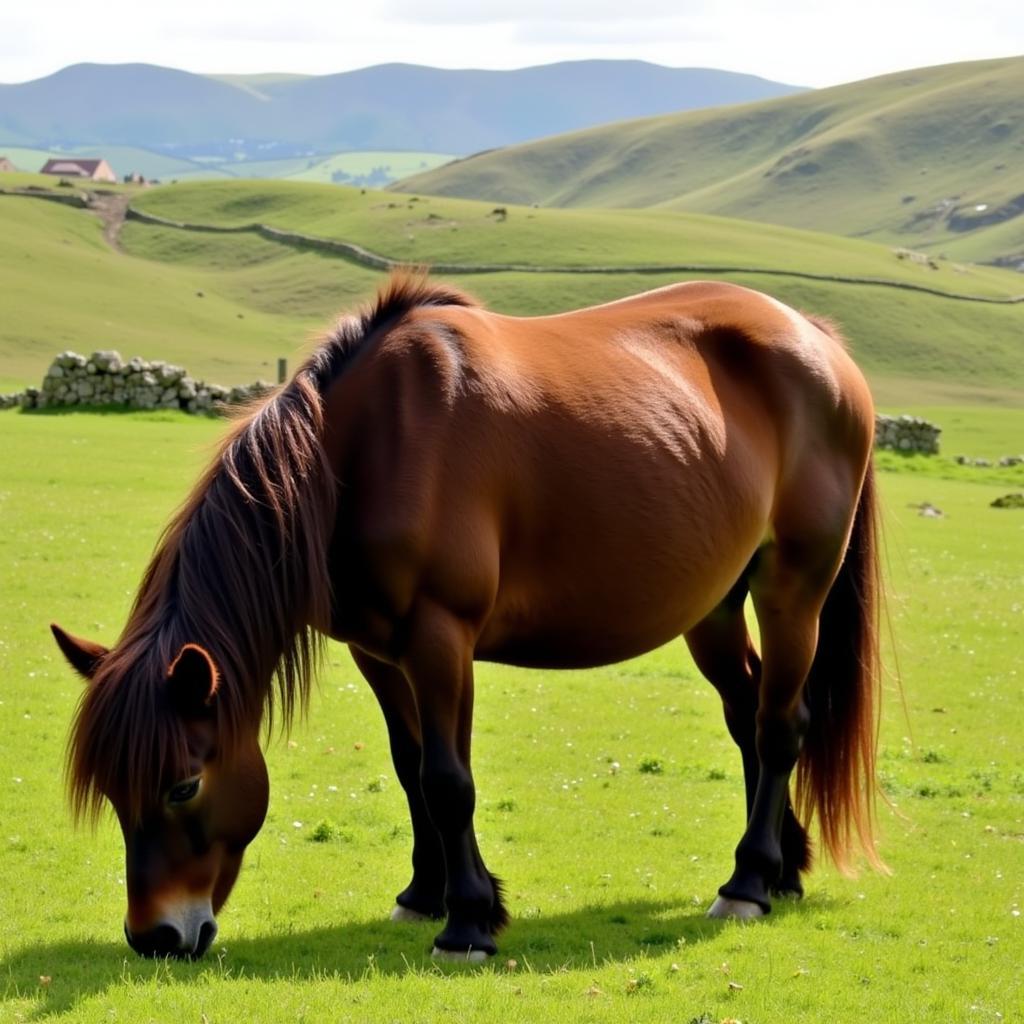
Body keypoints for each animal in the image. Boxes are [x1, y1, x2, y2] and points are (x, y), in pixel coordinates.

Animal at [56, 272, 884, 958]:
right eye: (113, 790)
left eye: (183, 786)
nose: (157, 938)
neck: (362, 451)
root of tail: (816, 338)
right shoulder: (377, 650)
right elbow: (411, 767)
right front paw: (431, 897)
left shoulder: (440, 638)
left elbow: (448, 779)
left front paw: (467, 923)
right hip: (712, 605)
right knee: (748, 715)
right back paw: (781, 870)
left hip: (793, 588)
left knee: (780, 726)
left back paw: (747, 884)